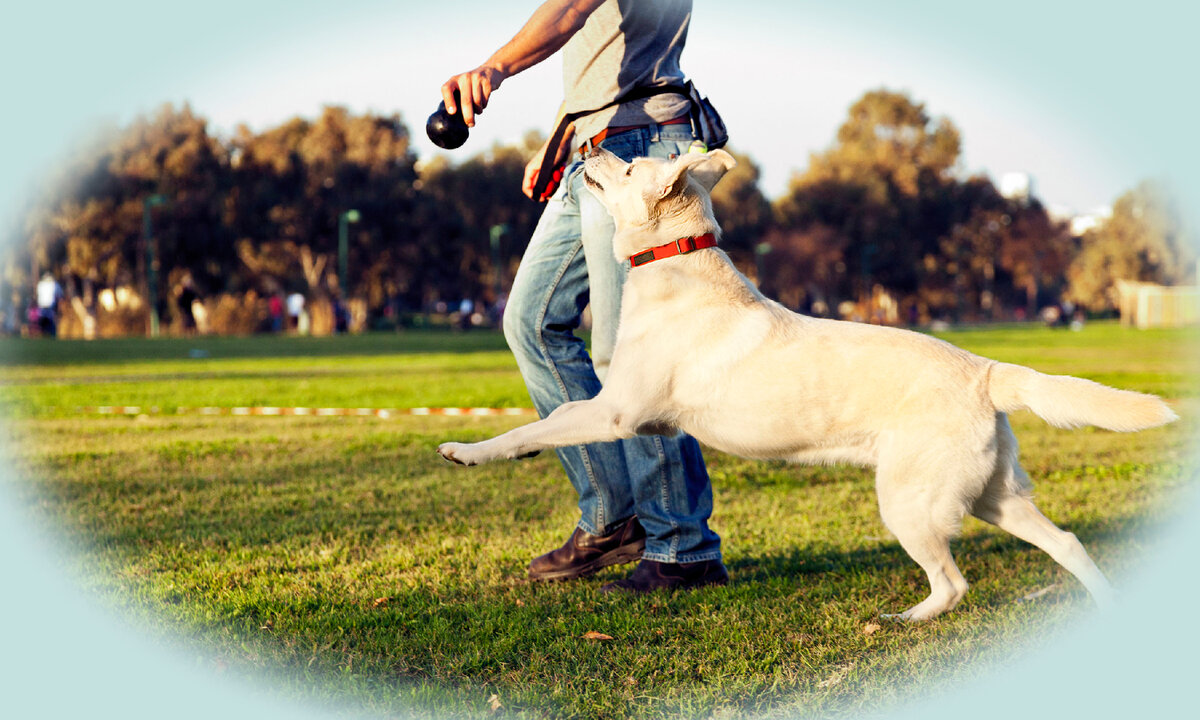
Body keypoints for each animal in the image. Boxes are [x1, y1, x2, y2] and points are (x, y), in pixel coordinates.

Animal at [436, 146, 1176, 619]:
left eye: (627, 164)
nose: (585, 148)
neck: (676, 265)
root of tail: (987, 371)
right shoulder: (624, 415)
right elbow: (551, 428)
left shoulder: (617, 411)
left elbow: (536, 425)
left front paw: (468, 451)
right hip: (993, 496)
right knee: (1067, 542)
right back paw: (1105, 607)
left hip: (910, 502)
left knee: (953, 582)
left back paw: (905, 620)